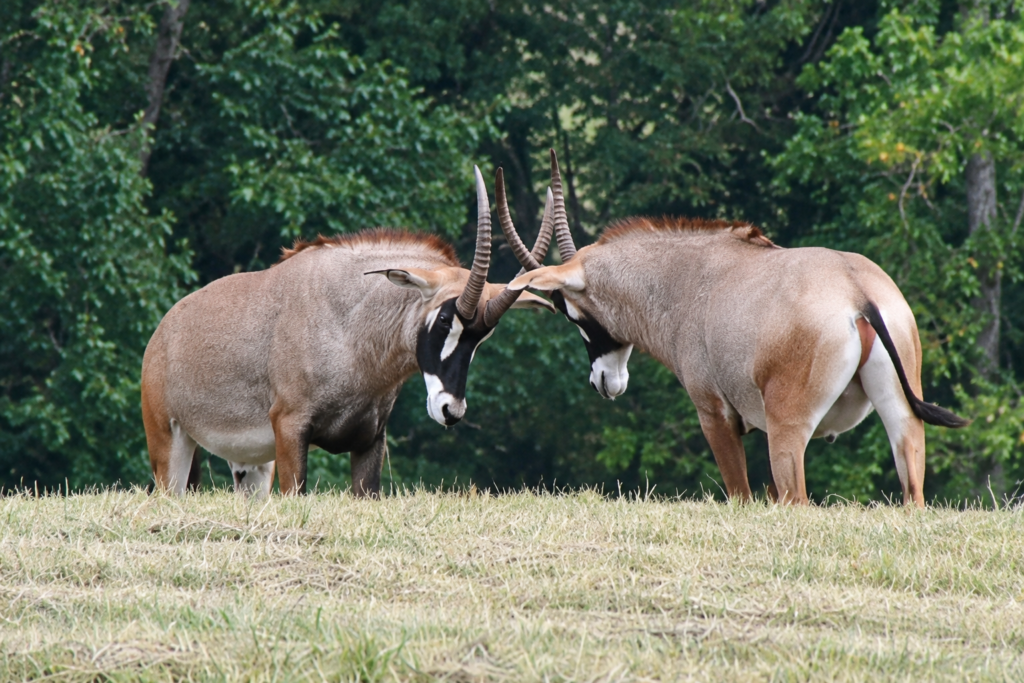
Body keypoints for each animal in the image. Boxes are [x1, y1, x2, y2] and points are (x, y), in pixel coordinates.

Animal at [142, 167, 555, 497]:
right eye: (443, 319)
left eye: (483, 337)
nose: (450, 410)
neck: (350, 330)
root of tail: (163, 331)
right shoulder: (290, 429)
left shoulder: (370, 441)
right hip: (169, 443)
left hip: (252, 466)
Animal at [502, 152, 969, 507]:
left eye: (569, 311)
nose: (604, 382)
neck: (682, 280)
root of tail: (857, 292)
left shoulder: (715, 412)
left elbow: (739, 495)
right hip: (902, 417)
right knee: (912, 492)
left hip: (787, 429)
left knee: (798, 499)